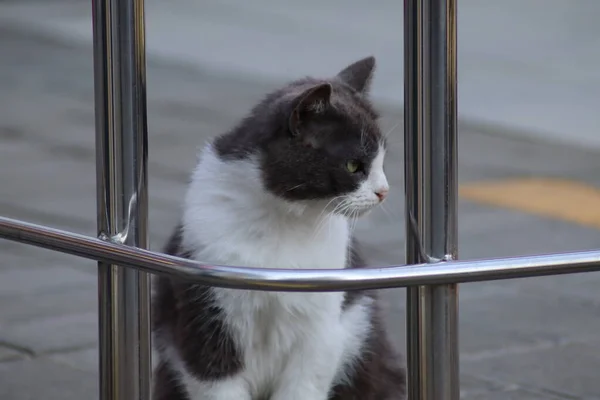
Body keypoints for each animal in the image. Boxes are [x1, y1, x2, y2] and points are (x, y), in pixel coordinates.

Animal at [155, 56, 408, 400]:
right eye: (354, 166)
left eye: (382, 159)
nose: (384, 191)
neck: (287, 222)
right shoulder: (206, 310)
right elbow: (214, 377)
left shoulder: (321, 326)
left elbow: (304, 383)